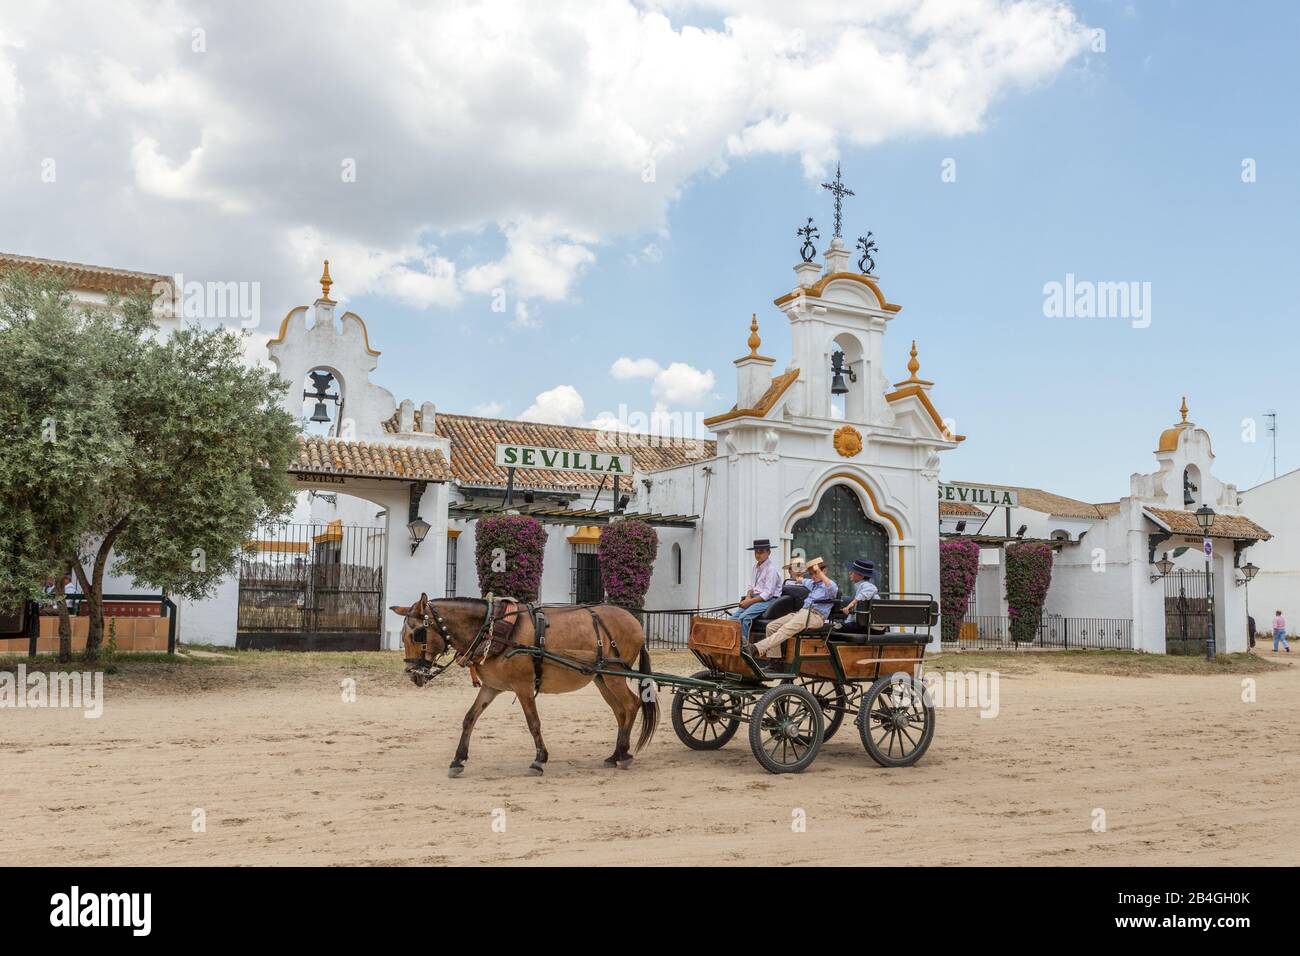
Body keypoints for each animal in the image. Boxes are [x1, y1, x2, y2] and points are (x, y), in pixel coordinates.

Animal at [390, 598, 660, 780]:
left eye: (417, 634)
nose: (413, 674)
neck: (493, 630)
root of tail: (633, 620)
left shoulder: (523, 687)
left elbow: (533, 722)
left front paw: (539, 760)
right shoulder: (491, 686)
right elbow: (469, 718)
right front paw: (458, 760)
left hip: (614, 676)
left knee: (630, 705)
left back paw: (624, 754)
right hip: (601, 677)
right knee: (620, 711)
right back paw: (615, 755)